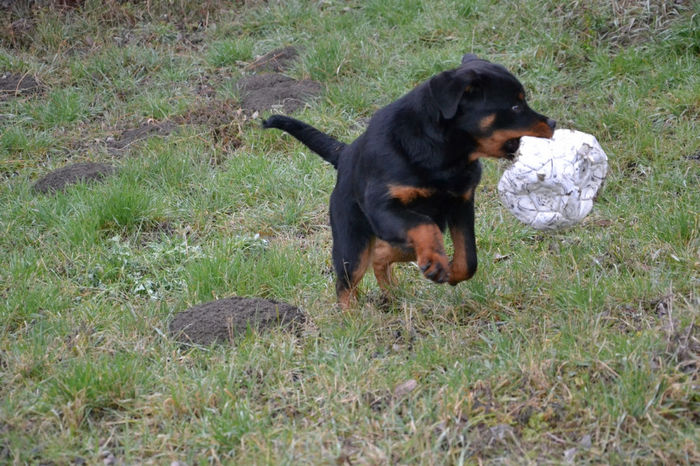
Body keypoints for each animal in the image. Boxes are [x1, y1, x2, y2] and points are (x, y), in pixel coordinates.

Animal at [260, 53, 556, 310]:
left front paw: (449, 271)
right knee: (347, 281)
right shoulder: (384, 207)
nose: (552, 122)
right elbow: (423, 226)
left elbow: (468, 258)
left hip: (404, 236)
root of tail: (344, 154)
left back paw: (393, 292)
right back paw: (351, 319)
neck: (445, 155)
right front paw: (437, 262)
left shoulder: (461, 203)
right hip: (353, 238)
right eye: (516, 106)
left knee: (381, 253)